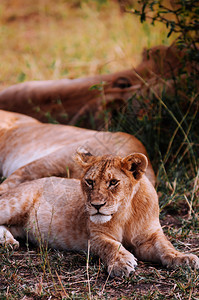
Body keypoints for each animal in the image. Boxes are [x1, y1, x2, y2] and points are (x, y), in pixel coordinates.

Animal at [0, 149, 199, 278]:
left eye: (113, 182)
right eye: (90, 182)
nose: (96, 205)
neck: (125, 213)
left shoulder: (149, 237)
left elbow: (165, 246)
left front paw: (184, 258)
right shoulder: (95, 237)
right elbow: (111, 246)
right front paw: (121, 263)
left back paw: (8, 242)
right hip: (14, 203)